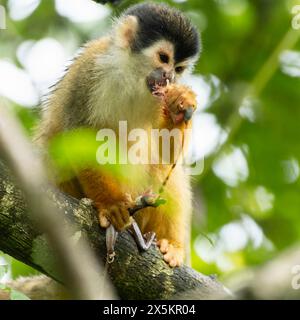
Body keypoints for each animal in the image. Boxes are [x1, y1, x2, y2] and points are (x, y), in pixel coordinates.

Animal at [34, 3, 199, 268]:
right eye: (164, 58)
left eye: (179, 69)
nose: (170, 77)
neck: (134, 78)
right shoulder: (89, 71)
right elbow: (78, 138)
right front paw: (111, 206)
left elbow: (166, 152)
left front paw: (179, 105)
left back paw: (171, 243)